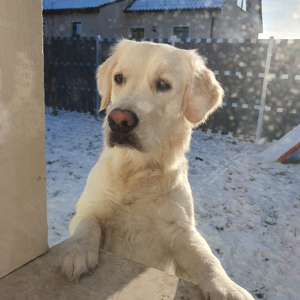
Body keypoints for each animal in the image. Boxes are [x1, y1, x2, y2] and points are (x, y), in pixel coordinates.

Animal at [59, 40, 254, 300]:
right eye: (119, 78)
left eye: (163, 84)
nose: (118, 121)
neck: (136, 172)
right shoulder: (84, 212)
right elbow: (88, 222)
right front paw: (77, 252)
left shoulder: (181, 231)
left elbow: (206, 258)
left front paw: (226, 287)